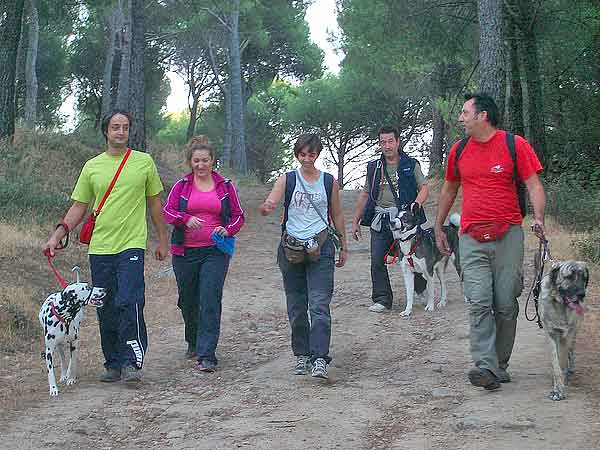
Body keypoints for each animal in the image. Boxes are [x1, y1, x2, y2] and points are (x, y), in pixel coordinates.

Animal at [540, 260, 592, 400]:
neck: (560, 305)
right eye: (569, 277)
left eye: (584, 278)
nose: (581, 294)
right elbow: (555, 363)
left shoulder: (567, 334)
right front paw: (557, 388)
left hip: (574, 332)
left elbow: (562, 361)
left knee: (570, 351)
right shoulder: (551, 334)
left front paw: (560, 388)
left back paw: (570, 369)